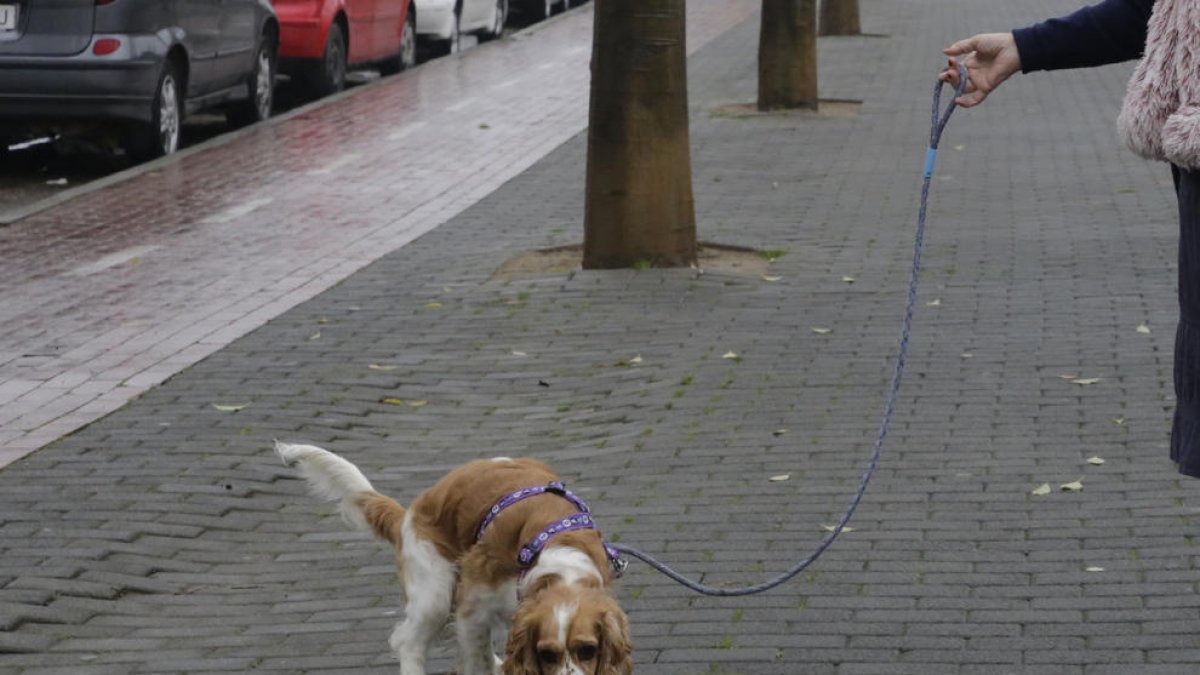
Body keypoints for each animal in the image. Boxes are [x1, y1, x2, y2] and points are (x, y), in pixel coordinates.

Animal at [274, 441, 633, 672]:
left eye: (588, 650)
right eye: (547, 654)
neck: (557, 550)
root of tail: (407, 515)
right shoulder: (472, 608)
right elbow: (477, 660)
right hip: (434, 591)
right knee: (408, 643)